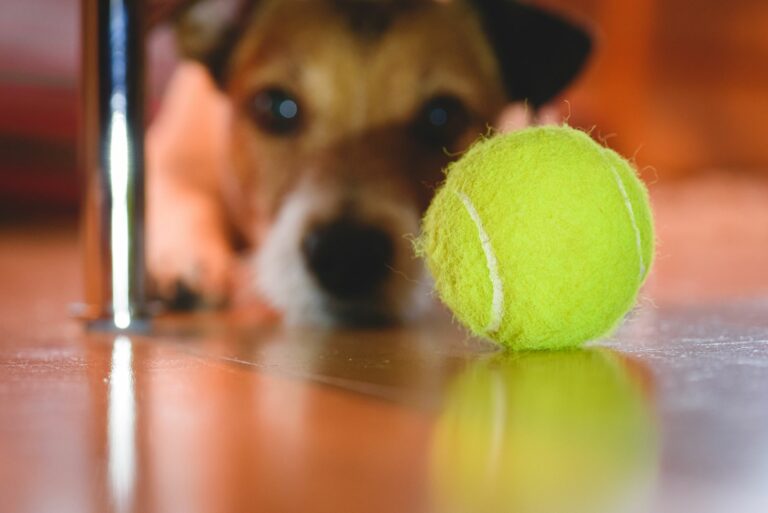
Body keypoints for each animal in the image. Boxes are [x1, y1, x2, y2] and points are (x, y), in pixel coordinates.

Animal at [148, 0, 592, 326]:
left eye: (441, 116)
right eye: (275, 107)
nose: (348, 255)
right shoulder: (173, 151)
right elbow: (177, 190)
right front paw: (181, 261)